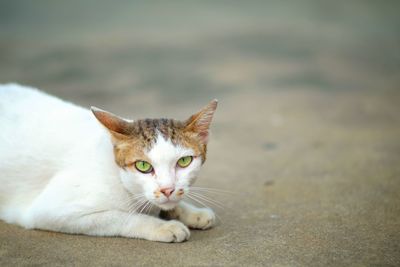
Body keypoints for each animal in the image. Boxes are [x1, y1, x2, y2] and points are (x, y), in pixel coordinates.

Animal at [0, 84, 217, 243]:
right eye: (143, 166)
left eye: (184, 161)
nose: (167, 189)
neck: (120, 179)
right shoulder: (50, 211)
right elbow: (120, 217)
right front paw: (163, 225)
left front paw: (191, 212)